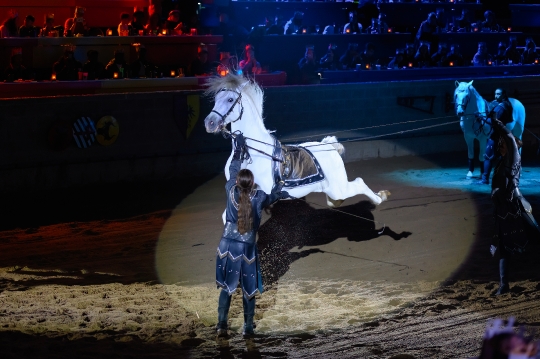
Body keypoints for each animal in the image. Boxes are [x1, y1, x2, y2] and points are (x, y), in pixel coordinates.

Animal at [202, 73, 388, 222]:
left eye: (230, 99)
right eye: (216, 99)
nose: (209, 123)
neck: (253, 153)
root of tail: (329, 145)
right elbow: (227, 216)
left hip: (338, 188)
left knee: (359, 183)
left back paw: (381, 197)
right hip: (332, 189)